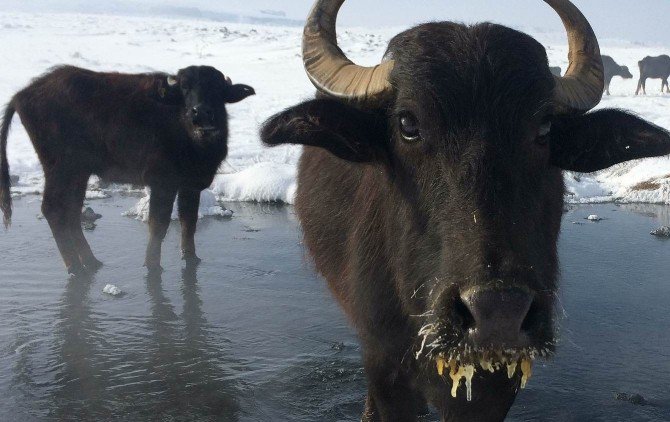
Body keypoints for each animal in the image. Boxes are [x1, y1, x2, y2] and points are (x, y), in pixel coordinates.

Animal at [0, 64, 256, 276]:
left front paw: (191, 259)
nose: (200, 113)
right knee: (53, 209)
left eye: (218, 88)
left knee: (71, 212)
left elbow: (188, 223)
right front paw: (152, 265)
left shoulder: (190, 186)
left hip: (79, 174)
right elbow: (158, 225)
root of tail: (22, 95)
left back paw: (91, 262)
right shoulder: (162, 184)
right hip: (61, 169)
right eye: (185, 88)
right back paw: (75, 267)